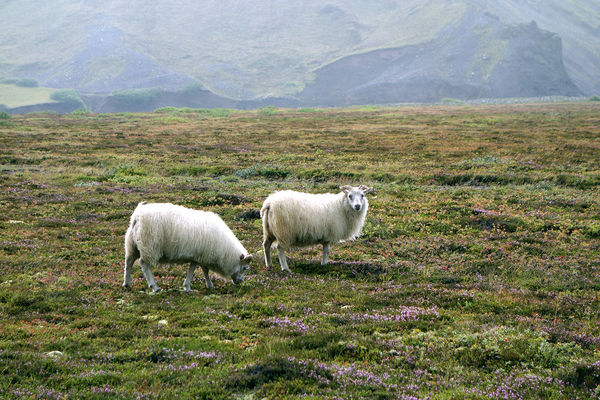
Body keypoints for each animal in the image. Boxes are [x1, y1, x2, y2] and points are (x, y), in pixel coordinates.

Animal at [123, 203, 252, 290]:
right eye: (245, 268)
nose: (240, 282)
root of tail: (137, 216)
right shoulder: (202, 254)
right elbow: (201, 269)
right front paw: (200, 285)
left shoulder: (198, 255)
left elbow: (199, 268)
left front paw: (200, 285)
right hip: (149, 245)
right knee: (143, 263)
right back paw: (155, 287)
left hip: (132, 244)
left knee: (129, 261)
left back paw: (127, 283)